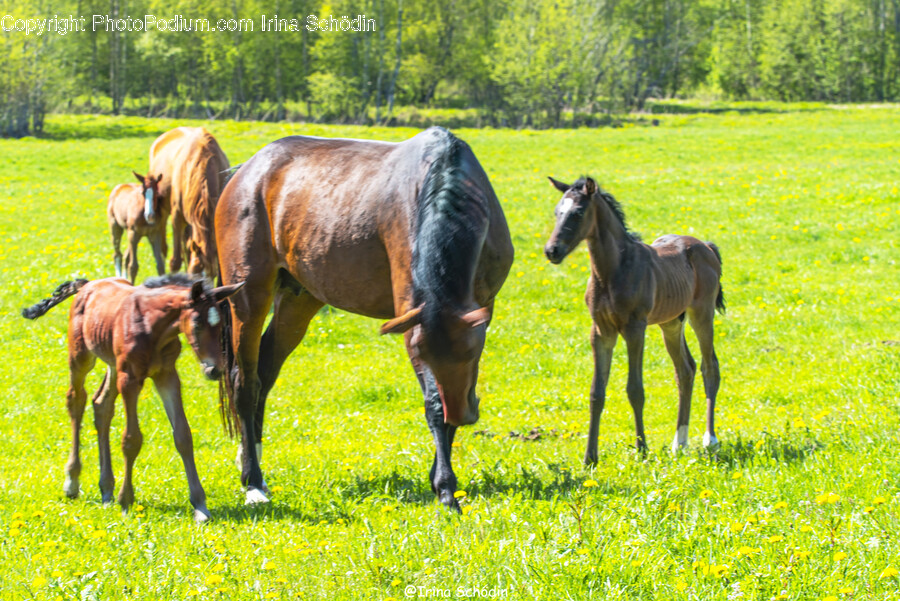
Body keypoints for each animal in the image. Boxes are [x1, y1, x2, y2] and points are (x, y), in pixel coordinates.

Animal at [21, 274, 244, 522]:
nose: (214, 370)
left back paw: (106, 488)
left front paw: (200, 506)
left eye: (221, 326)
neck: (153, 329)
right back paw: (72, 482)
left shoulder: (166, 375)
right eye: (196, 324)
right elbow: (131, 439)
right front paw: (126, 501)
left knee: (101, 405)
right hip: (81, 357)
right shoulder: (129, 379)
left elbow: (183, 436)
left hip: (112, 364)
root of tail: (88, 285)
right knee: (76, 401)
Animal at [215, 126, 514, 510]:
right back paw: (252, 482)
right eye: (424, 353)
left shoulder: (474, 316)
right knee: (245, 381)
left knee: (265, 373)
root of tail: (247, 170)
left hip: (300, 298)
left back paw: (254, 466)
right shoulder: (414, 325)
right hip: (249, 297)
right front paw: (446, 487)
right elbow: (433, 403)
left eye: (472, 352)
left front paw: (440, 476)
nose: (462, 414)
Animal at [543, 176, 724, 462]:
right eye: (557, 212)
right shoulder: (601, 331)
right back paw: (679, 443)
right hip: (671, 322)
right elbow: (596, 393)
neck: (612, 271)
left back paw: (710, 440)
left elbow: (635, 389)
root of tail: (706, 246)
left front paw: (641, 449)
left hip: (702, 313)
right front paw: (589, 458)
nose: (552, 250)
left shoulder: (634, 328)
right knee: (685, 370)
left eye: (578, 212)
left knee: (710, 367)